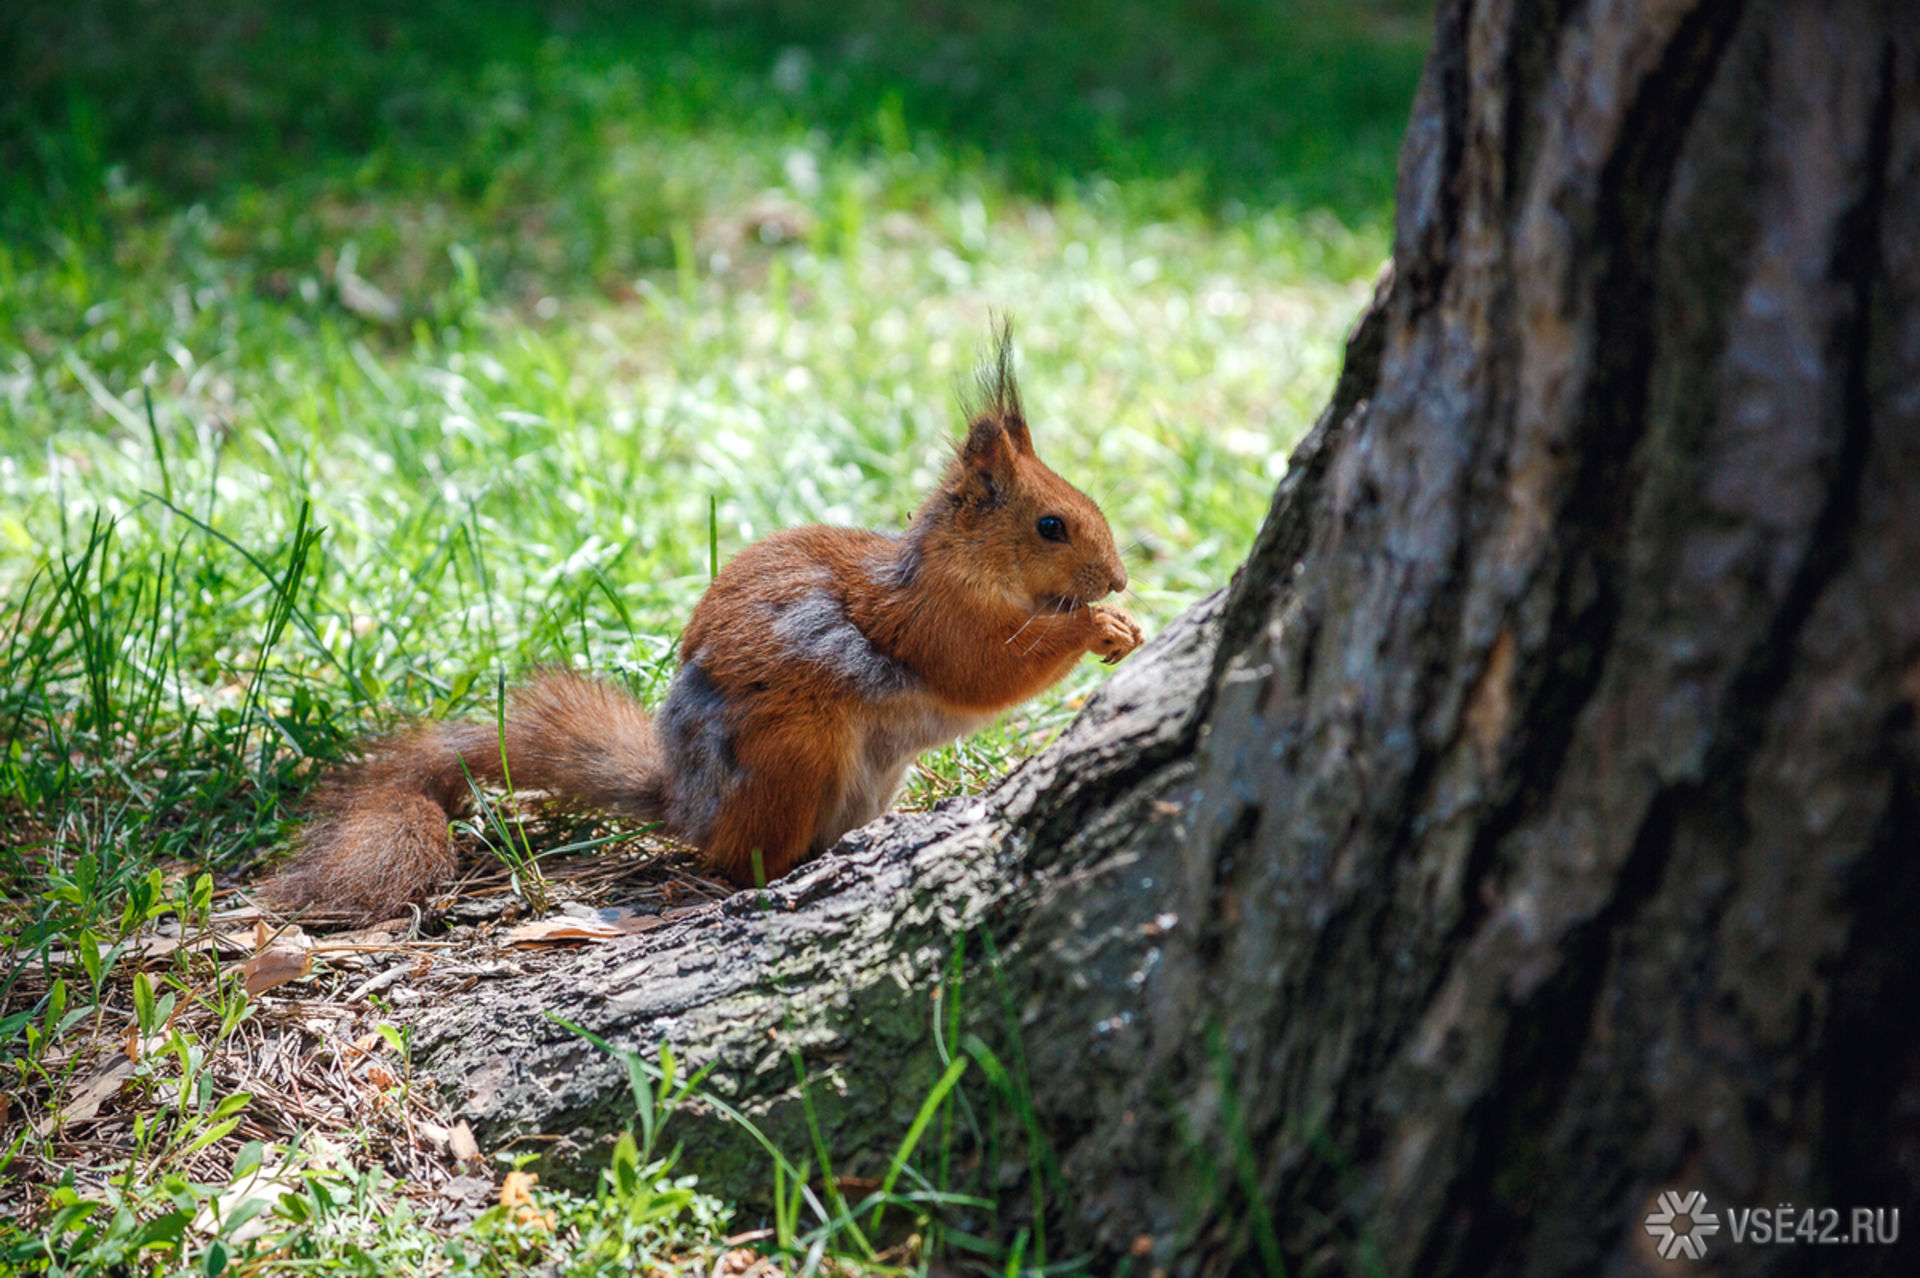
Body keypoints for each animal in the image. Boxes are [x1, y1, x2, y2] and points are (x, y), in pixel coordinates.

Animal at [263, 324, 1144, 921]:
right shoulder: (932, 624)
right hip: (794, 758)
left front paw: (1125, 624)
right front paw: (1097, 627)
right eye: (1051, 526)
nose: (1120, 577)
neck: (959, 570)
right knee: (736, 861)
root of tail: (690, 803)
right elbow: (990, 672)